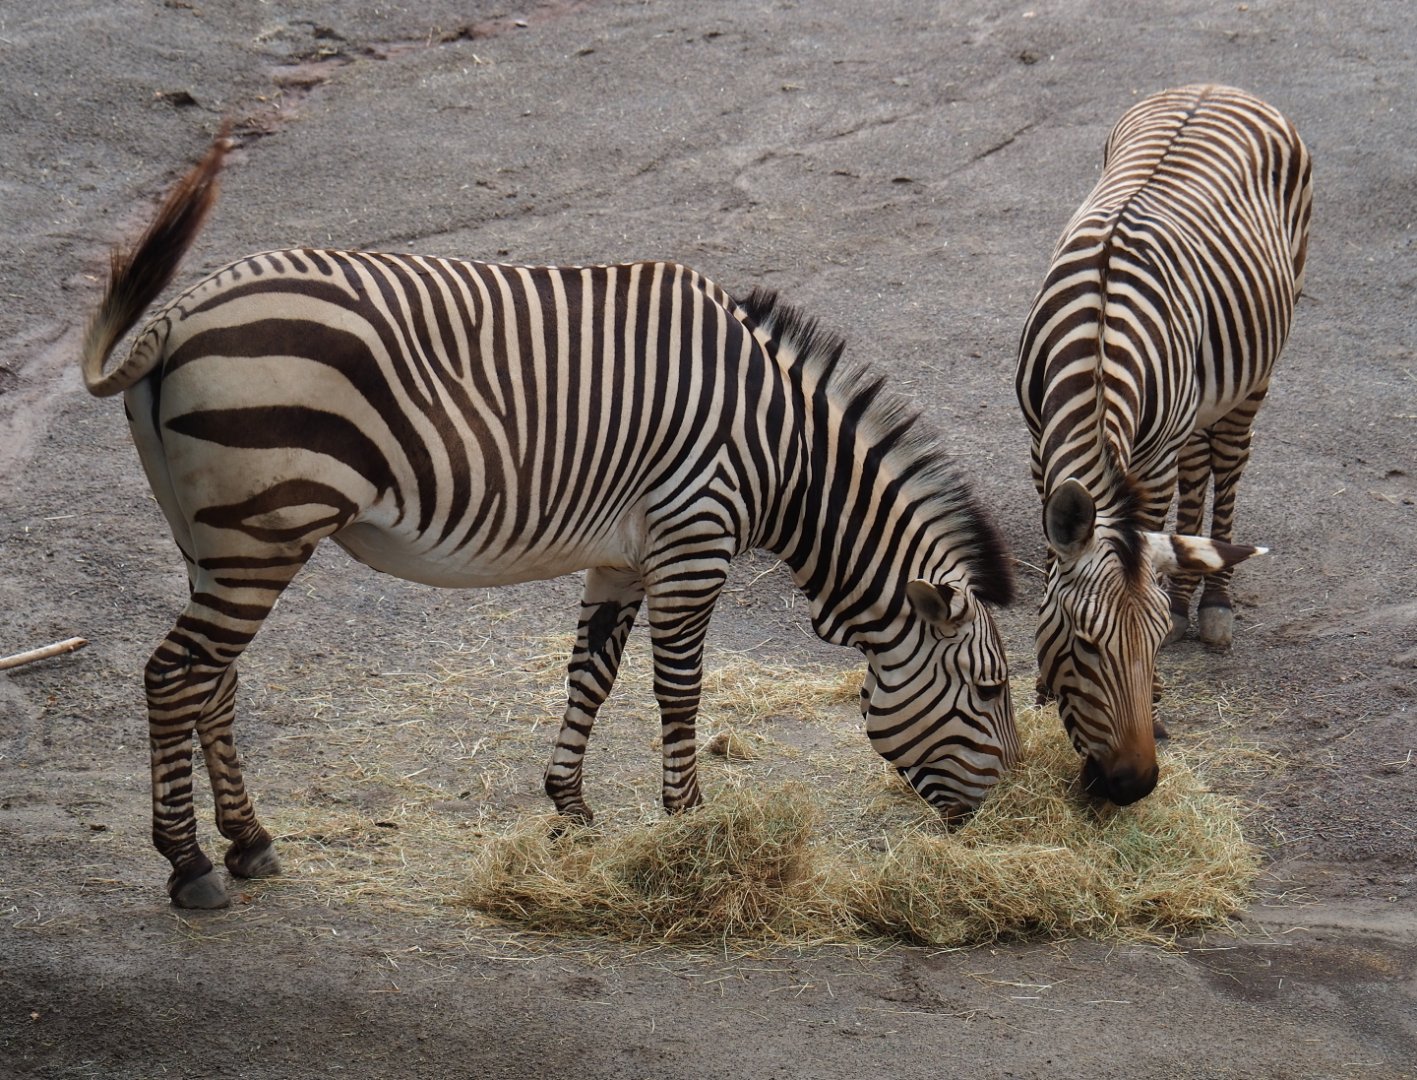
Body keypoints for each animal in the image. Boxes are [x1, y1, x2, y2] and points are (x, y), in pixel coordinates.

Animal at [80, 134, 1018, 909]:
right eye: (989, 690)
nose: (1003, 806)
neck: (786, 448)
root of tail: (180, 315)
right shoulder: (695, 539)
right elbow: (678, 689)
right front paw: (688, 820)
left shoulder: (624, 556)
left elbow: (589, 676)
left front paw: (570, 808)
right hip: (264, 530)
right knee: (175, 675)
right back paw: (189, 866)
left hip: (210, 535)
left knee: (215, 679)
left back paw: (248, 842)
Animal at [1015, 84, 1312, 805]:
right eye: (1082, 643)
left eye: (1147, 646)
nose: (1133, 785)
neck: (1096, 353)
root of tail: (1217, 86)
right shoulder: (1041, 447)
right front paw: (1039, 691)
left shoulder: (1144, 467)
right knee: (1198, 467)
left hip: (1254, 369)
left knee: (1225, 464)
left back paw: (1210, 603)